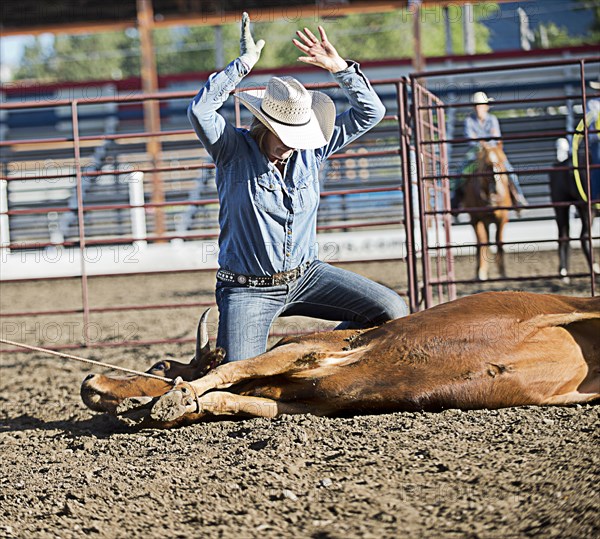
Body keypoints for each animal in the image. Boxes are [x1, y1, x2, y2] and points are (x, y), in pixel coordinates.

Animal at [81, 294, 600, 428]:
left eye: (158, 368)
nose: (89, 381)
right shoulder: (312, 403)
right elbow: (233, 401)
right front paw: (184, 404)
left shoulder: (310, 351)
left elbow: (232, 371)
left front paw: (175, 398)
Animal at [462, 141, 512, 280]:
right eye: (486, 163)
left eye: (502, 160)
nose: (497, 189)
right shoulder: (476, 219)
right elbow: (482, 242)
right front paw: (481, 271)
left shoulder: (502, 218)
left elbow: (499, 240)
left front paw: (503, 271)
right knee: (482, 241)